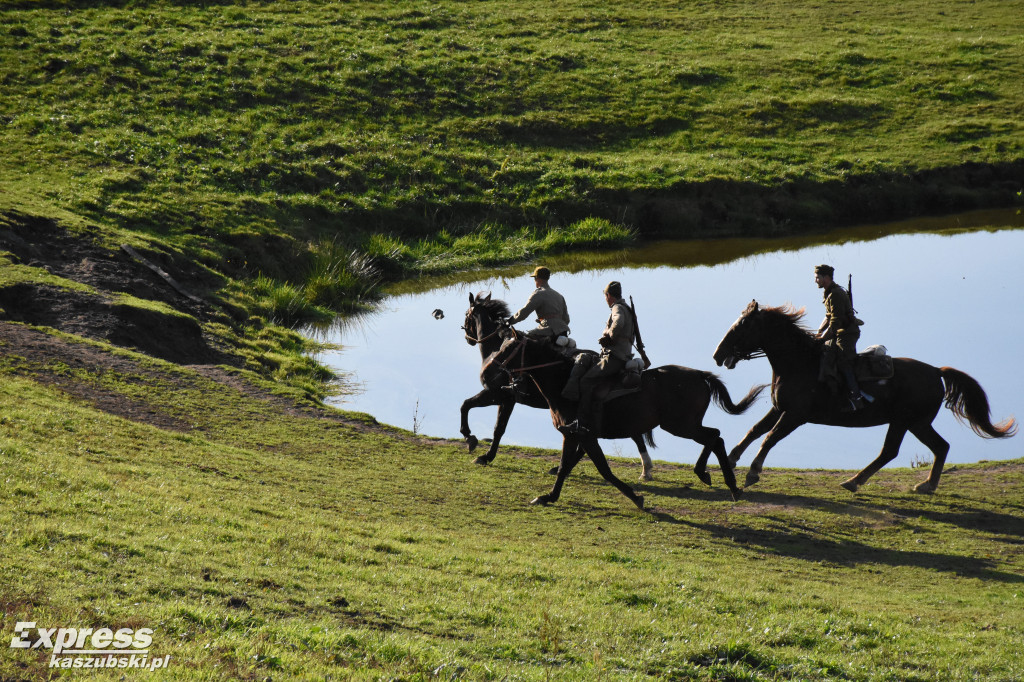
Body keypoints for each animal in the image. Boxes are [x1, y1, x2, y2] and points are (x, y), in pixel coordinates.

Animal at [483, 323, 765, 503]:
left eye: (508, 350)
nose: (488, 373)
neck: (562, 380)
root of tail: (699, 375)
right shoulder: (576, 436)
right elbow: (568, 466)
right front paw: (549, 496)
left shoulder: (581, 435)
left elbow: (602, 469)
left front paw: (635, 497)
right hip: (685, 425)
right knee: (715, 437)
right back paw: (720, 481)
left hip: (680, 426)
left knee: (714, 436)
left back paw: (715, 478)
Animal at [712, 301, 1015, 491]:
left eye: (742, 326)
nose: (717, 354)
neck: (800, 363)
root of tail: (935, 371)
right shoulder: (779, 408)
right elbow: (754, 431)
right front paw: (731, 460)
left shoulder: (795, 416)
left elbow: (770, 437)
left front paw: (753, 472)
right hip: (915, 423)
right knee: (936, 447)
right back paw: (920, 484)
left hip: (907, 421)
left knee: (894, 451)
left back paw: (859, 481)